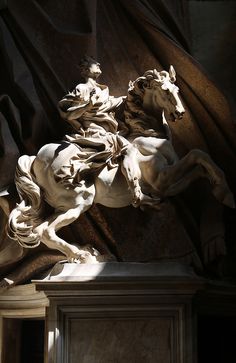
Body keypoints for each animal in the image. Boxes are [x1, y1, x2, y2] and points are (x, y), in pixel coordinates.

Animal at [7, 67, 234, 262]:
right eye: (165, 91)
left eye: (177, 90)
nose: (180, 113)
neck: (150, 135)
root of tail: (35, 159)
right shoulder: (161, 178)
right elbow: (198, 154)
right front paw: (226, 194)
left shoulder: (167, 186)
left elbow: (199, 168)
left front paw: (220, 189)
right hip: (79, 201)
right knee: (46, 231)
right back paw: (85, 255)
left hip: (65, 205)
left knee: (41, 231)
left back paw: (85, 252)